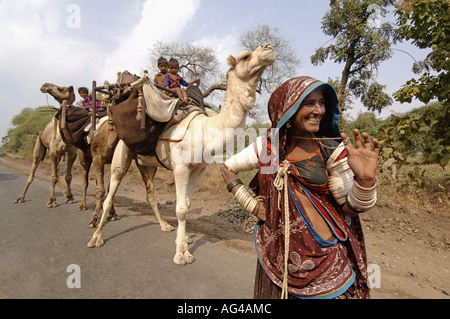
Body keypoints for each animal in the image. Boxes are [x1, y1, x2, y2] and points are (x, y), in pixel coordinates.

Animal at [86, 43, 276, 266]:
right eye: (245, 56)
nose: (268, 48)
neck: (205, 132)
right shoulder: (180, 167)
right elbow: (181, 209)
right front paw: (181, 254)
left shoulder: (199, 170)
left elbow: (187, 204)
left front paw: (183, 240)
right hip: (123, 149)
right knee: (111, 189)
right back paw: (96, 237)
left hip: (147, 163)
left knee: (150, 192)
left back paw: (165, 225)